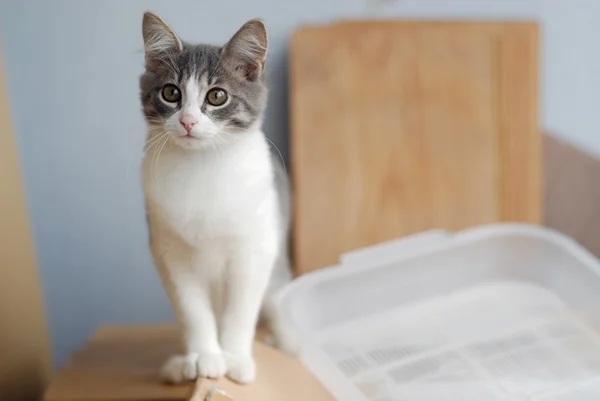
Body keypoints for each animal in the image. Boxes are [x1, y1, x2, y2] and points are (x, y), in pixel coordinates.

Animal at [139, 10, 292, 382]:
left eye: (217, 96)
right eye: (171, 92)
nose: (188, 121)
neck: (201, 167)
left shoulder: (254, 251)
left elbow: (240, 312)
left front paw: (234, 358)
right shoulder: (171, 253)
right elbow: (194, 312)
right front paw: (204, 356)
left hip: (278, 270)